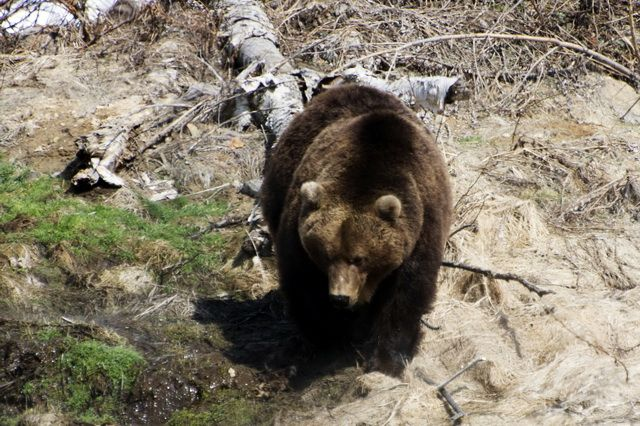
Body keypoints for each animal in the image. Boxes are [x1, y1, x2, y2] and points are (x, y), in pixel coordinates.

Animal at [258, 84, 450, 376]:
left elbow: (406, 293)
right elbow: (303, 283)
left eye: (360, 258)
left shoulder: (422, 224)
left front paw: (387, 359)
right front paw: (327, 338)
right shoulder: (297, 229)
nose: (340, 297)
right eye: (326, 255)